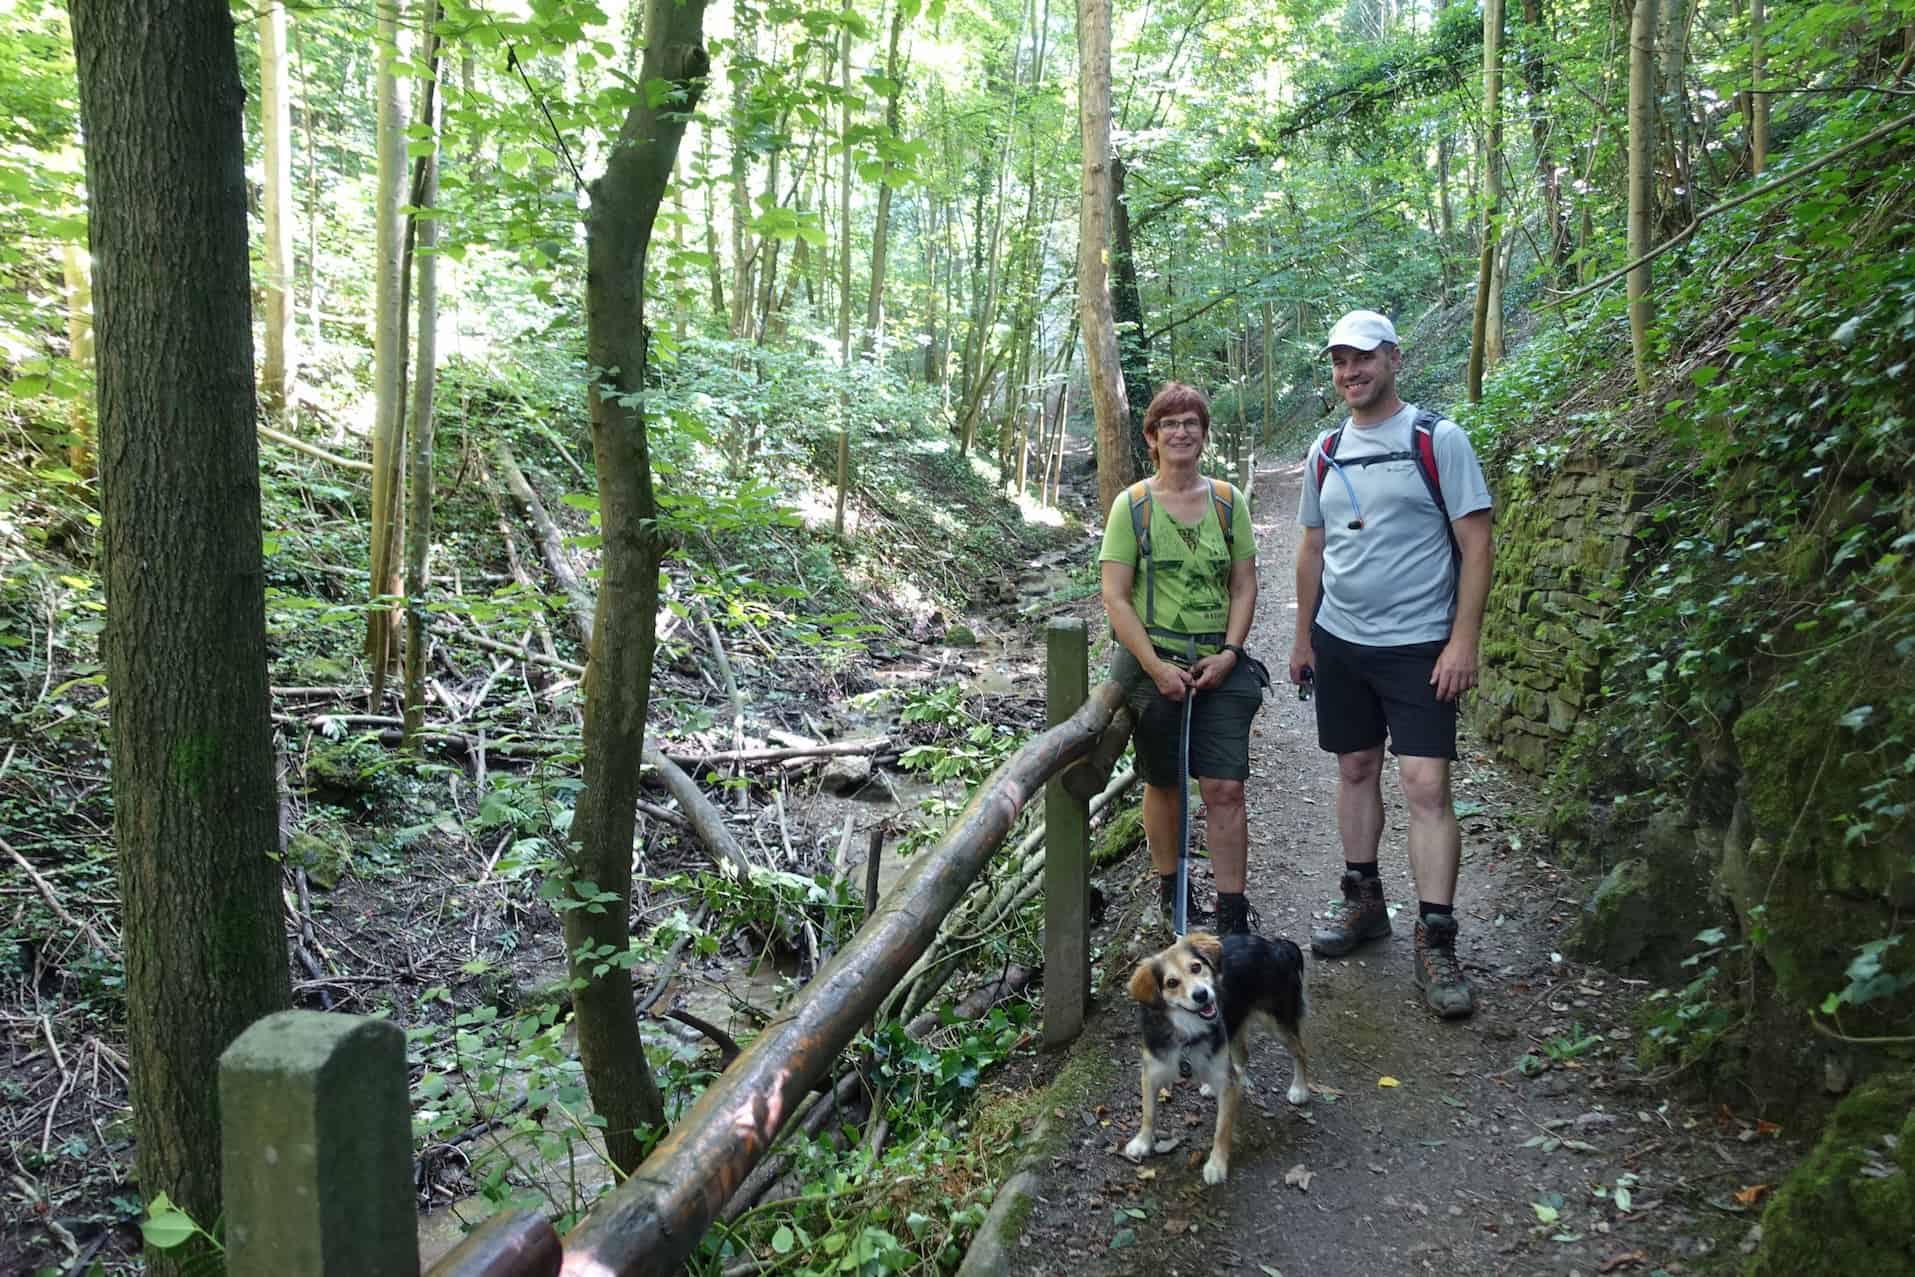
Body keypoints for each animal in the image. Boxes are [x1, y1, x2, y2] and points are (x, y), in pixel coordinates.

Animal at [1118, 930, 1317, 1187]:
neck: (1187, 1031)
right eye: (1171, 983)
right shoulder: (1151, 1071)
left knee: (1299, 1051)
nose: (1201, 995)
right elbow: (1149, 1112)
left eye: (1196, 967)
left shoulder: (1225, 1082)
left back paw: (1299, 1089)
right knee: (1242, 1054)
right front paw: (1142, 1142)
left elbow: (1222, 1129)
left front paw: (1216, 1165)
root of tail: (1275, 945)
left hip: (1275, 1022)